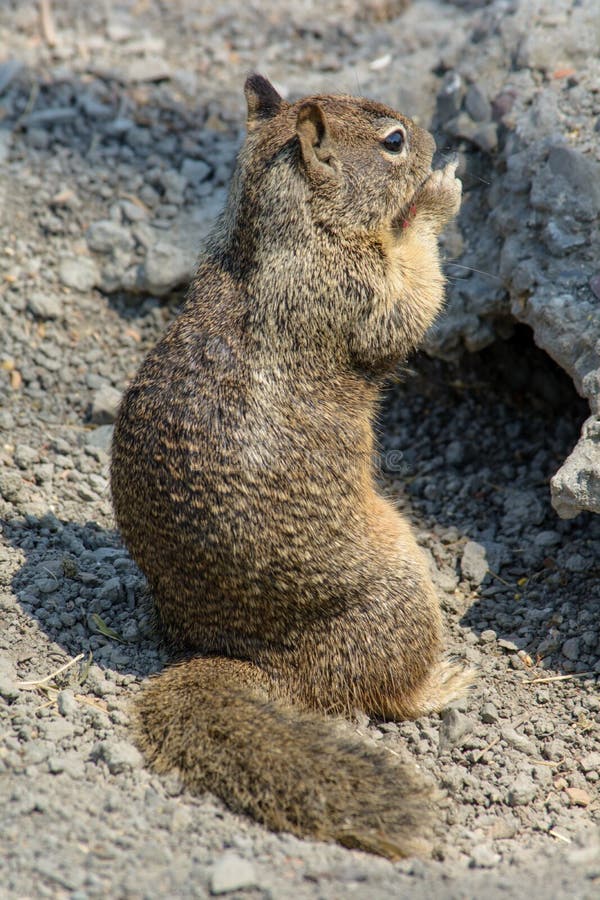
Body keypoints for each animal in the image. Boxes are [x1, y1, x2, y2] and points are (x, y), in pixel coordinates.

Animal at [110, 74, 470, 859]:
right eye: (393, 141)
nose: (434, 139)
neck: (277, 228)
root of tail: (266, 667)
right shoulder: (349, 289)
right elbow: (407, 301)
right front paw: (437, 197)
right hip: (405, 592)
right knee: (387, 694)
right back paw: (443, 683)